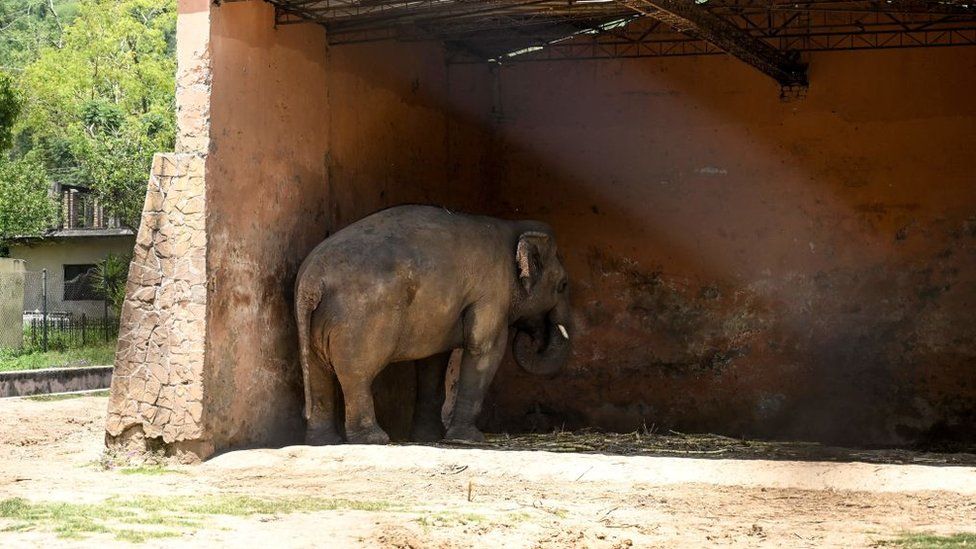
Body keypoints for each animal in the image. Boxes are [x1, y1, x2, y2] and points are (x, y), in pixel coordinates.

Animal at [298, 203, 572, 444]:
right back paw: (374, 440)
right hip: (359, 321)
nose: (531, 336)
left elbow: (433, 361)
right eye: (563, 285)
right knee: (357, 373)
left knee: (318, 373)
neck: (513, 228)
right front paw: (468, 439)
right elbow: (485, 347)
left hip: (317, 324)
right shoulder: (492, 292)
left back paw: (324, 442)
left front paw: (429, 437)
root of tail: (311, 281)